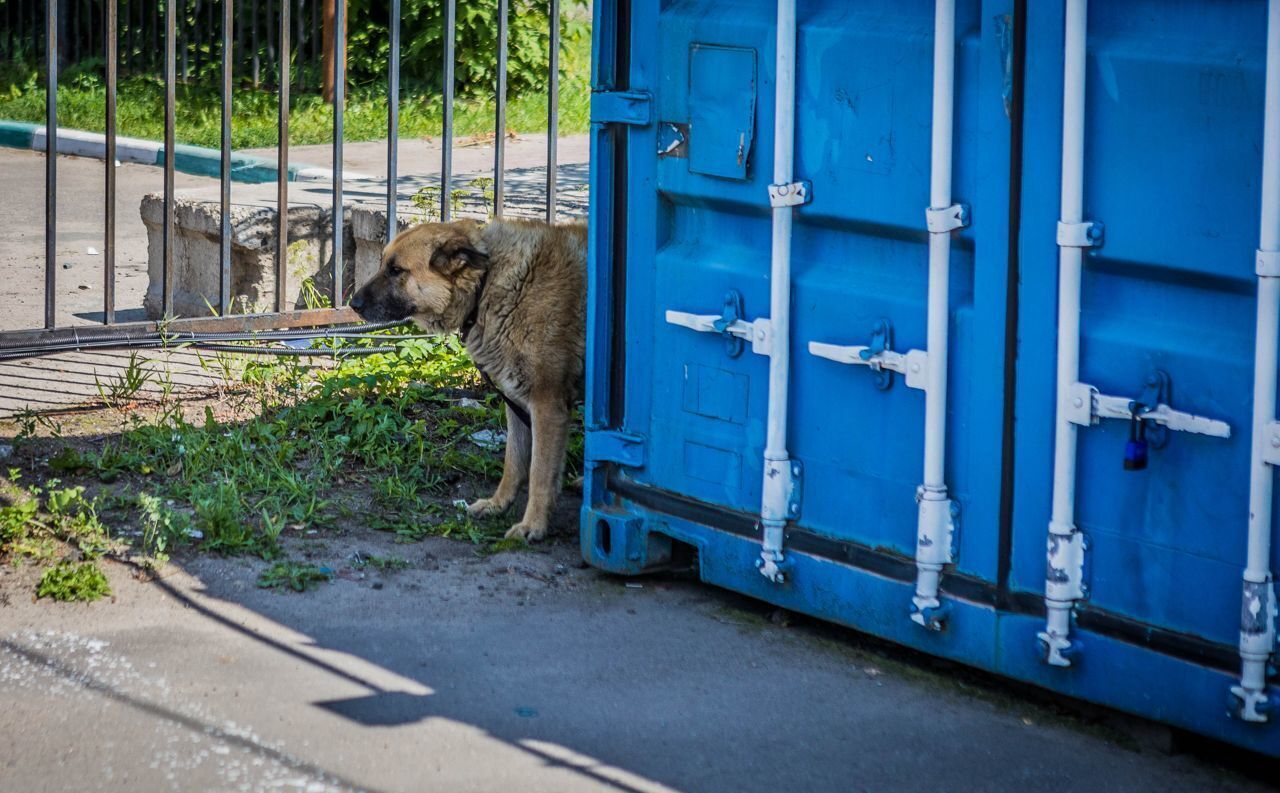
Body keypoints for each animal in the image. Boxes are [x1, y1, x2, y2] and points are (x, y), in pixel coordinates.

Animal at [350, 217, 588, 542]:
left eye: (396, 270)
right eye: (382, 263)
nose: (353, 303)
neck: (487, 285)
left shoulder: (548, 407)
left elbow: (540, 473)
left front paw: (533, 525)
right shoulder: (517, 404)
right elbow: (514, 462)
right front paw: (498, 504)